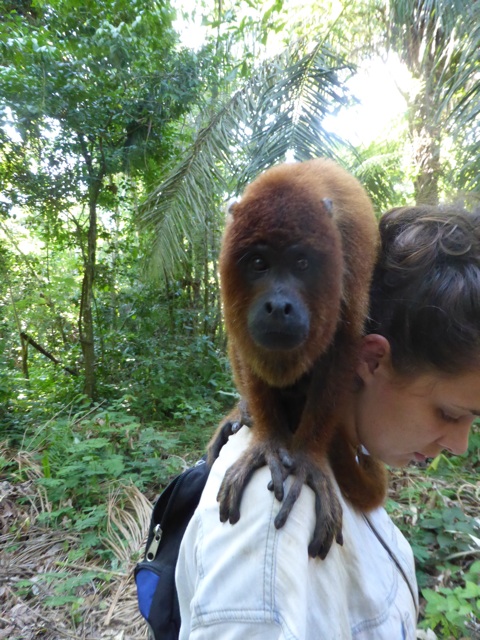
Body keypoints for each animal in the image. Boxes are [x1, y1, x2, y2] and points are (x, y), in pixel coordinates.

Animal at [209, 158, 388, 559]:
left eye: (302, 262)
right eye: (259, 262)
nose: (278, 306)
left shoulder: (349, 244)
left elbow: (343, 343)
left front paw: (307, 458)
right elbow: (246, 345)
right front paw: (269, 443)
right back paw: (245, 410)